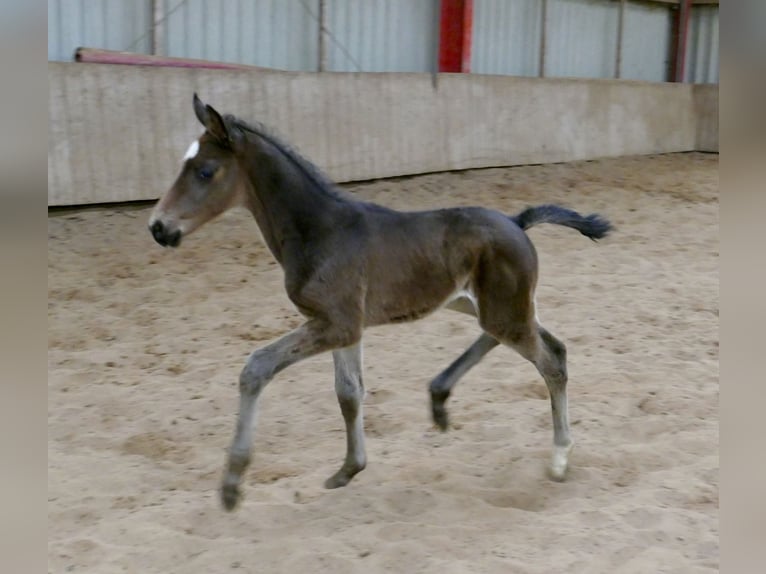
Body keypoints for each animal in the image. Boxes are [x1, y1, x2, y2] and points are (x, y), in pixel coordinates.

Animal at [149, 94, 612, 511]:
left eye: (206, 171)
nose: (158, 227)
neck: (321, 231)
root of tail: (517, 222)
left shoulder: (336, 323)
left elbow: (257, 367)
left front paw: (232, 484)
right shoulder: (342, 326)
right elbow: (349, 393)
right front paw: (348, 469)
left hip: (503, 309)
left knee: (549, 361)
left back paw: (559, 457)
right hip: (481, 303)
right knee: (546, 344)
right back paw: (440, 398)